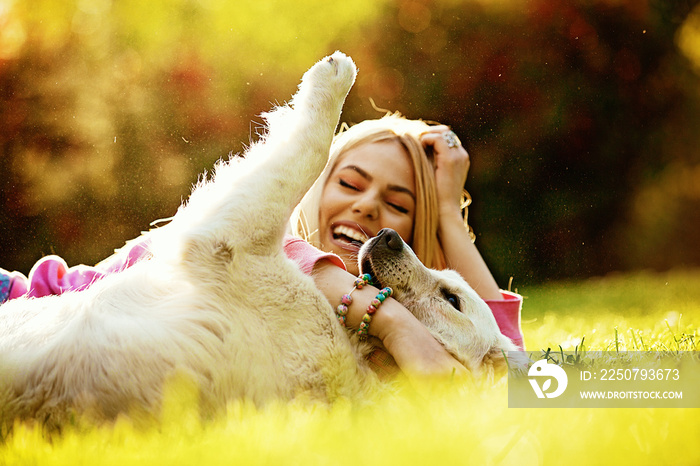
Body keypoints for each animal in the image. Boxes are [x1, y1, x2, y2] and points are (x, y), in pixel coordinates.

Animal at [0, 52, 516, 430]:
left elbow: (307, 153)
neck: (367, 358)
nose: (388, 236)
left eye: (452, 298)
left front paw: (334, 77)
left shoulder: (231, 242)